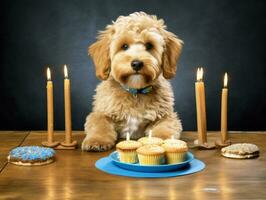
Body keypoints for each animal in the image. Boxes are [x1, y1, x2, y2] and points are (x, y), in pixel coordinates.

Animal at [82, 11, 184, 151]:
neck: (135, 91)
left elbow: (165, 127)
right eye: (124, 46)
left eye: (149, 45)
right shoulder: (100, 113)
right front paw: (97, 140)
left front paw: (163, 140)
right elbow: (99, 124)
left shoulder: (166, 115)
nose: (137, 64)